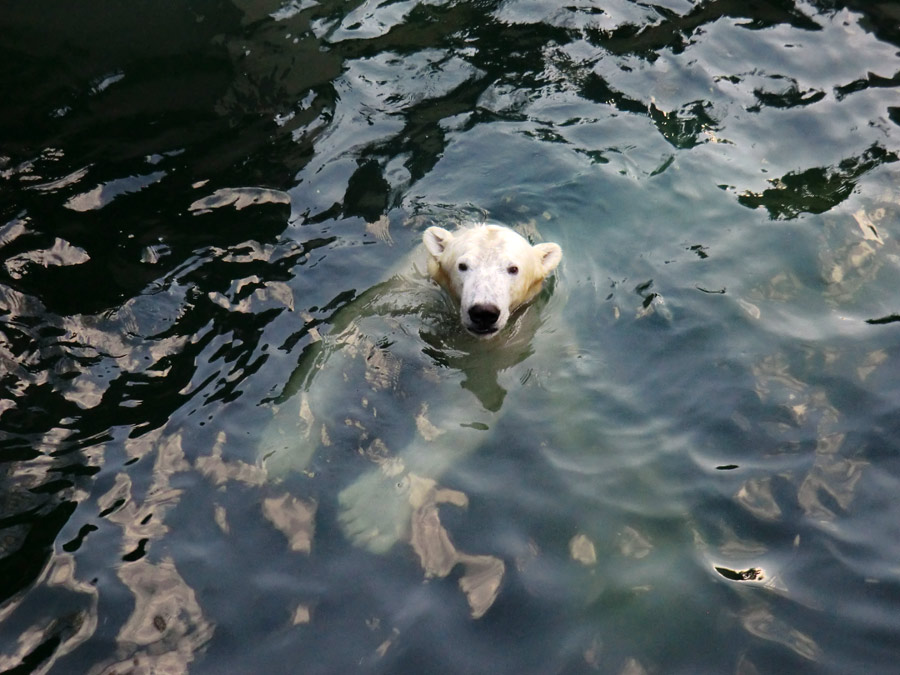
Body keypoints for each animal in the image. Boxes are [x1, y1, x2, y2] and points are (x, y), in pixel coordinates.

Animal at [256, 224, 564, 556]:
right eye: (463, 265)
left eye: (513, 268)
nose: (484, 312)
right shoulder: (407, 293)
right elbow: (345, 340)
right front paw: (286, 441)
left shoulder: (507, 345)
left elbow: (465, 412)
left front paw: (371, 512)